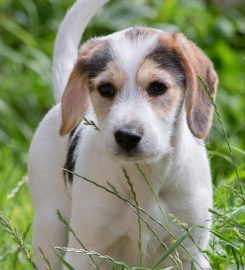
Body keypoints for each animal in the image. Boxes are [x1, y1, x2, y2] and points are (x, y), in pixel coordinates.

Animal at [27, 0, 217, 270]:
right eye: (106, 89)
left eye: (158, 87)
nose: (127, 136)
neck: (146, 176)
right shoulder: (84, 252)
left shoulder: (191, 252)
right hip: (49, 228)